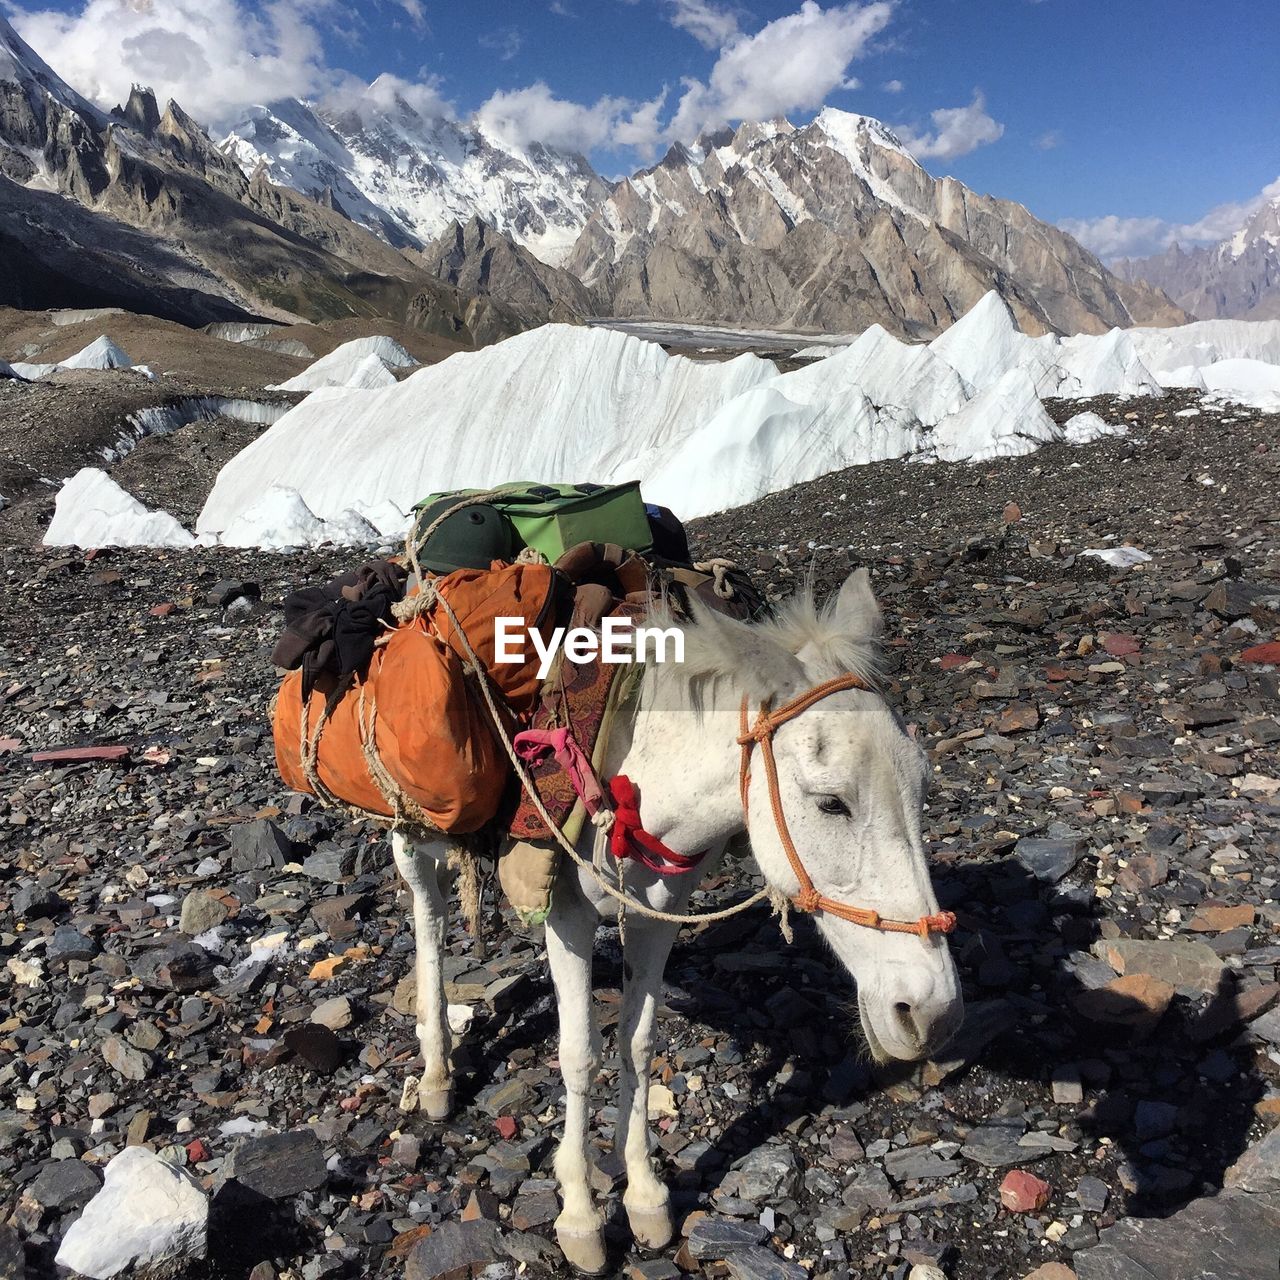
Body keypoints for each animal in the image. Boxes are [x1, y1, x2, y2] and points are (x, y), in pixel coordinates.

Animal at [389, 570, 962, 1269]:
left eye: (923, 788)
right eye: (831, 803)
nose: (934, 1014)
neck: (636, 777)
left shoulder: (659, 913)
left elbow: (636, 1044)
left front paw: (644, 1197)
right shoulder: (566, 916)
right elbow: (578, 1054)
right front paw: (579, 1216)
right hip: (409, 831)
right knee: (429, 920)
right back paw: (437, 1074)